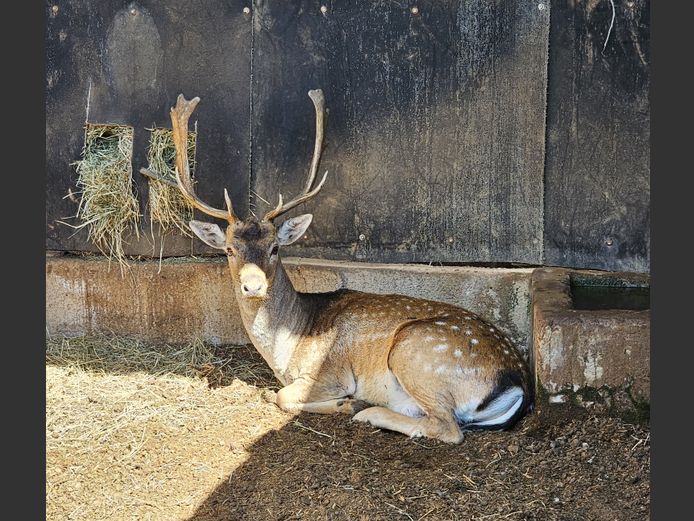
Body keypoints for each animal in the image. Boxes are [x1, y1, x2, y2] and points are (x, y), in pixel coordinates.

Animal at [140, 89, 532, 442]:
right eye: (229, 250)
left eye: (276, 247)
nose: (253, 285)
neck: (286, 351)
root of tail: (516, 384)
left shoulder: (331, 372)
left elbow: (279, 396)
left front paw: (347, 402)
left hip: (416, 351)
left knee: (448, 428)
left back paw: (366, 411)